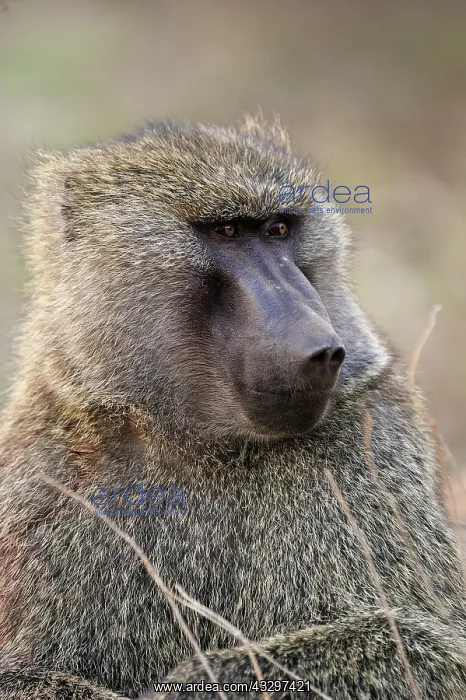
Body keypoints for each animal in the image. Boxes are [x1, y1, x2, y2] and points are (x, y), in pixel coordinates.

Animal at [0, 116, 465, 700]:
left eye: (278, 230)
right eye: (226, 232)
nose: (320, 347)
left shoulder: (375, 436)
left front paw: (199, 679)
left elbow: (434, 653)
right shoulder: (43, 473)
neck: (200, 444)